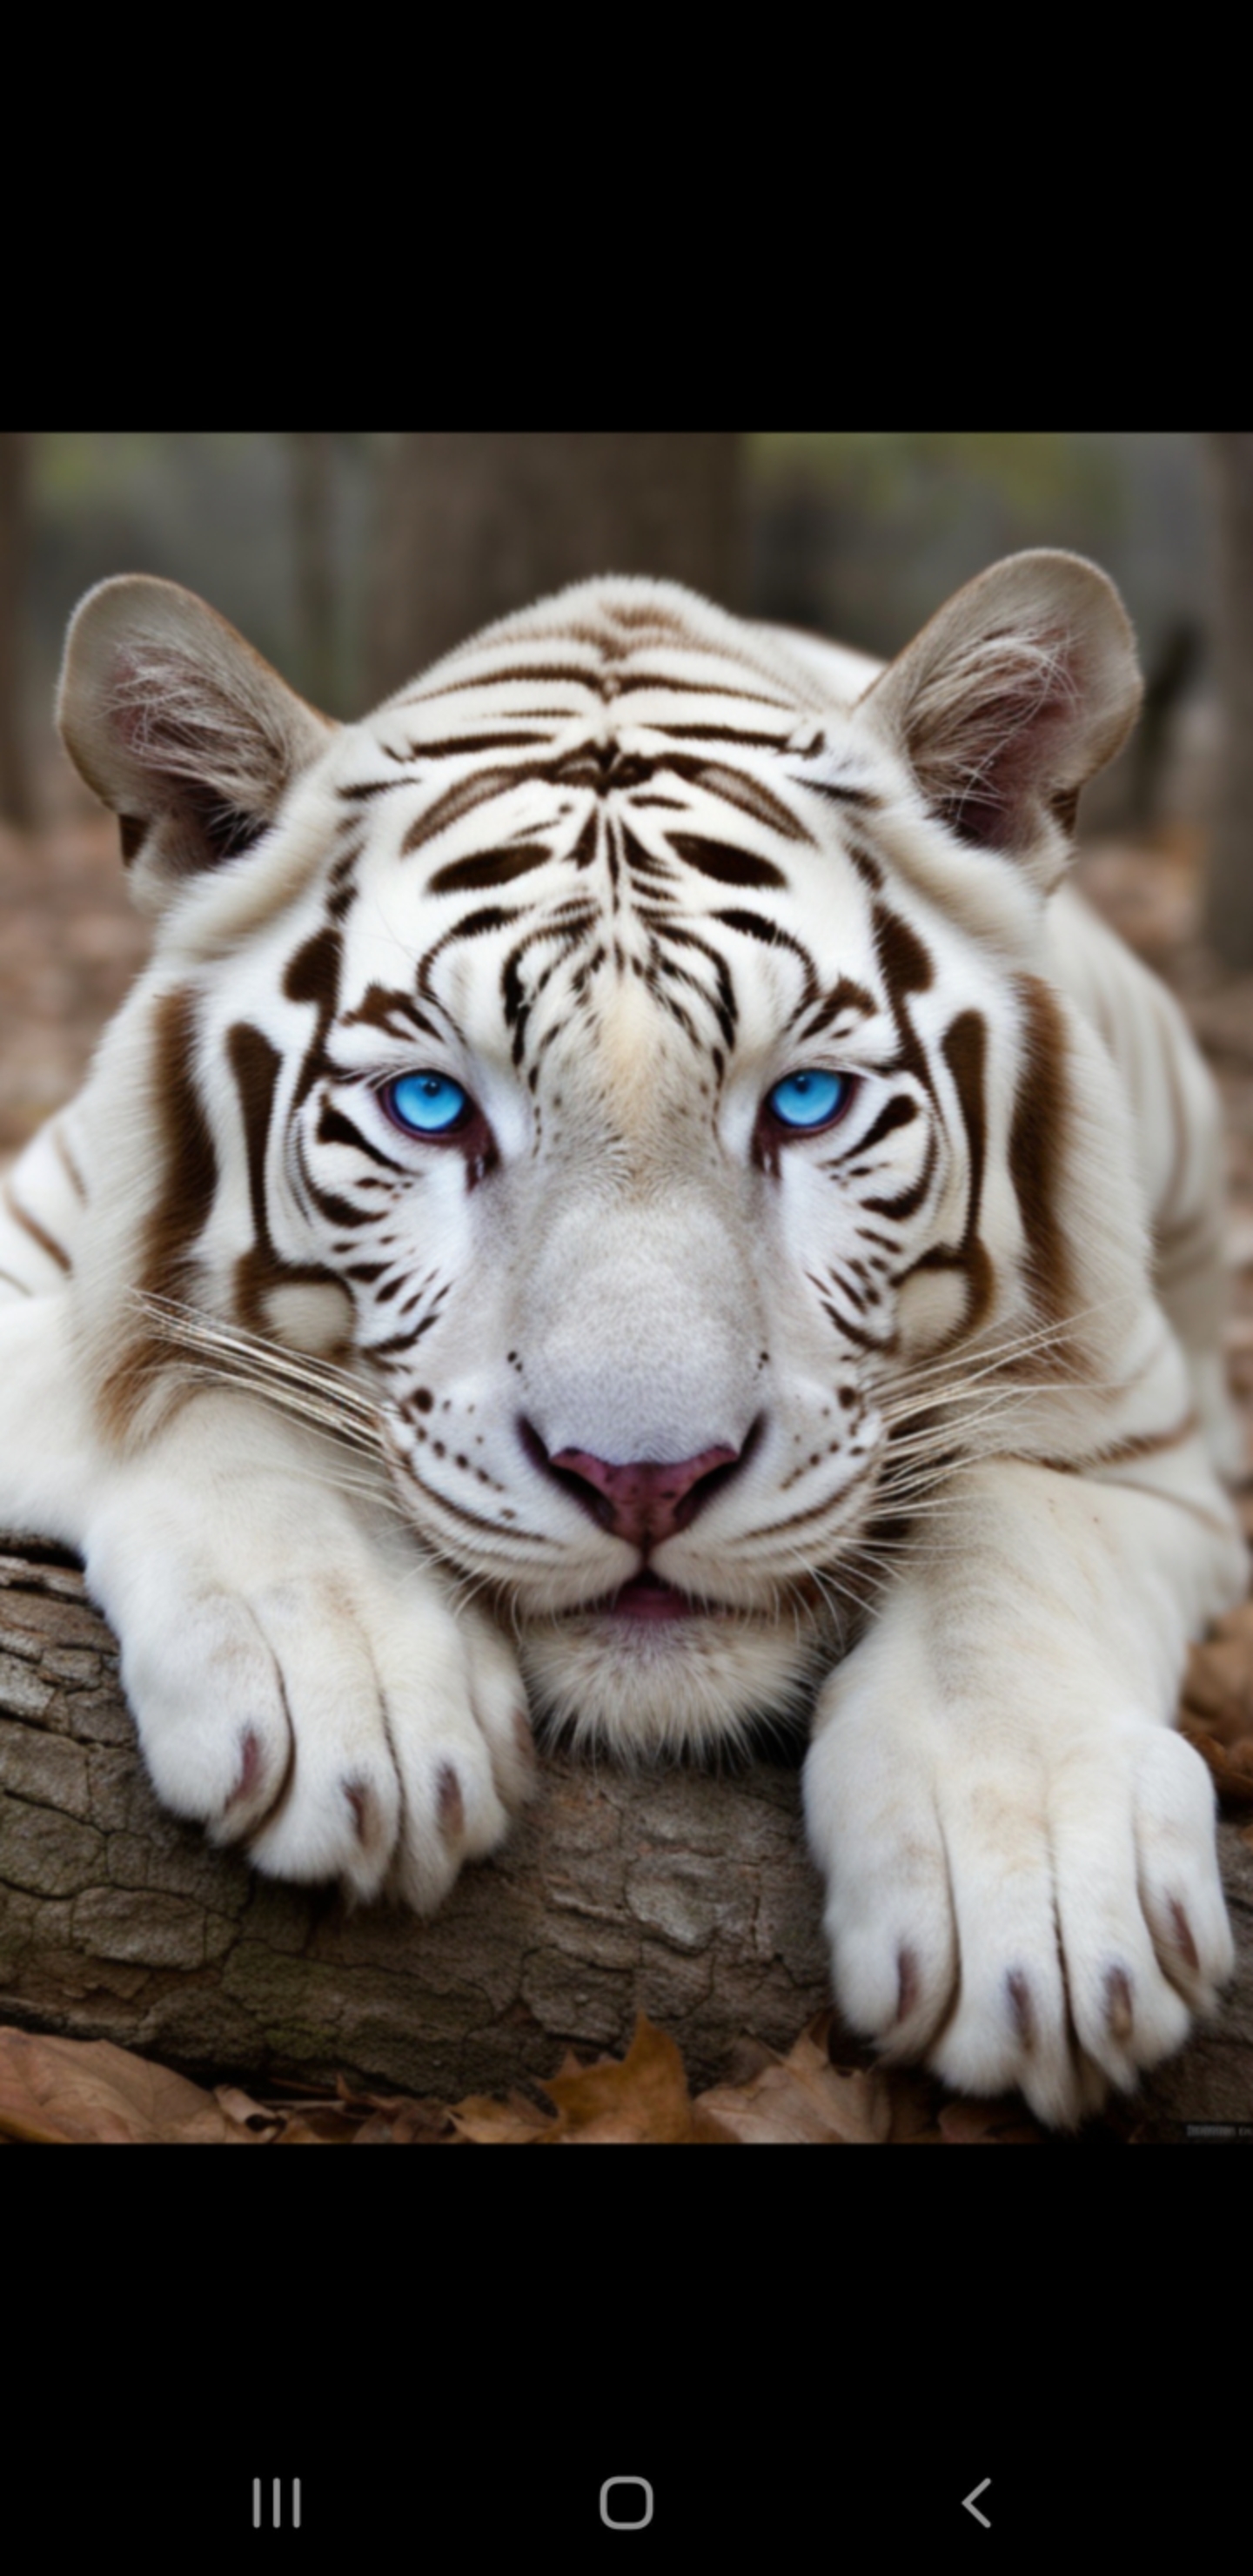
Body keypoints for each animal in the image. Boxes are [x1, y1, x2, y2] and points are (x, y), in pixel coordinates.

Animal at [0, 551, 1246, 2128]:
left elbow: (1015, 1525)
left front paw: (1044, 1890)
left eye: (807, 1104)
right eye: (428, 1106)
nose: (644, 1482)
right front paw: (351, 1682)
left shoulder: (1147, 1444)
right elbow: (165, 1380)